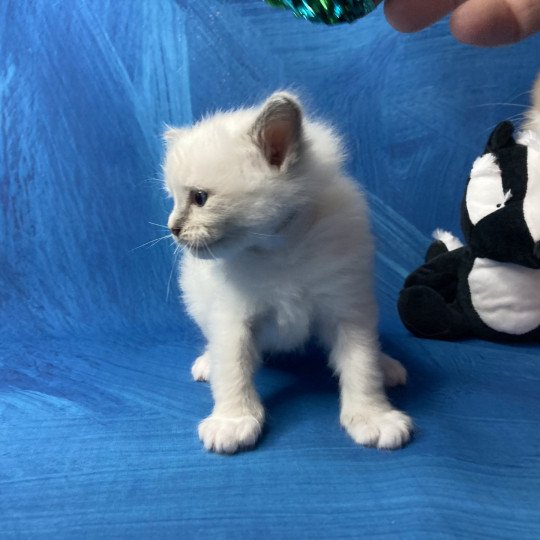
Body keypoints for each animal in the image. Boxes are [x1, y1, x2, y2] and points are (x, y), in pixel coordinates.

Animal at [165, 92, 414, 452]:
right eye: (172, 199)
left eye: (200, 198)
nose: (172, 228)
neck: (279, 249)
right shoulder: (231, 317)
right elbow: (232, 369)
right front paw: (233, 421)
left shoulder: (348, 307)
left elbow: (361, 364)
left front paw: (373, 416)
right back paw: (208, 362)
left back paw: (386, 364)